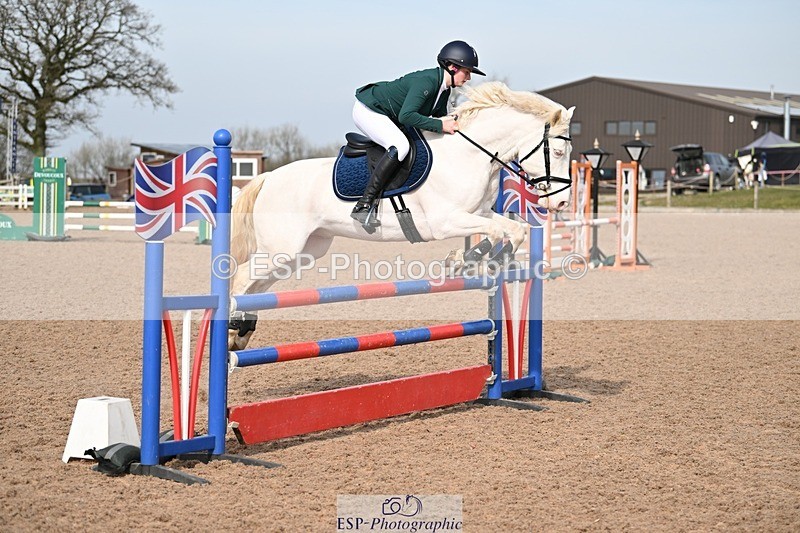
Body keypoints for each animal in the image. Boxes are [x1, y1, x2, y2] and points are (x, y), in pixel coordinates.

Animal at [228, 82, 575, 350]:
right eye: (558, 152)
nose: (560, 203)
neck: (470, 154)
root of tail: (267, 178)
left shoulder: (479, 212)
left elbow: (514, 231)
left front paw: (480, 260)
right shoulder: (445, 221)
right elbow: (495, 232)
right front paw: (466, 260)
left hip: (305, 250)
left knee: (257, 286)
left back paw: (241, 334)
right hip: (282, 247)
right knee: (243, 277)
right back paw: (233, 328)